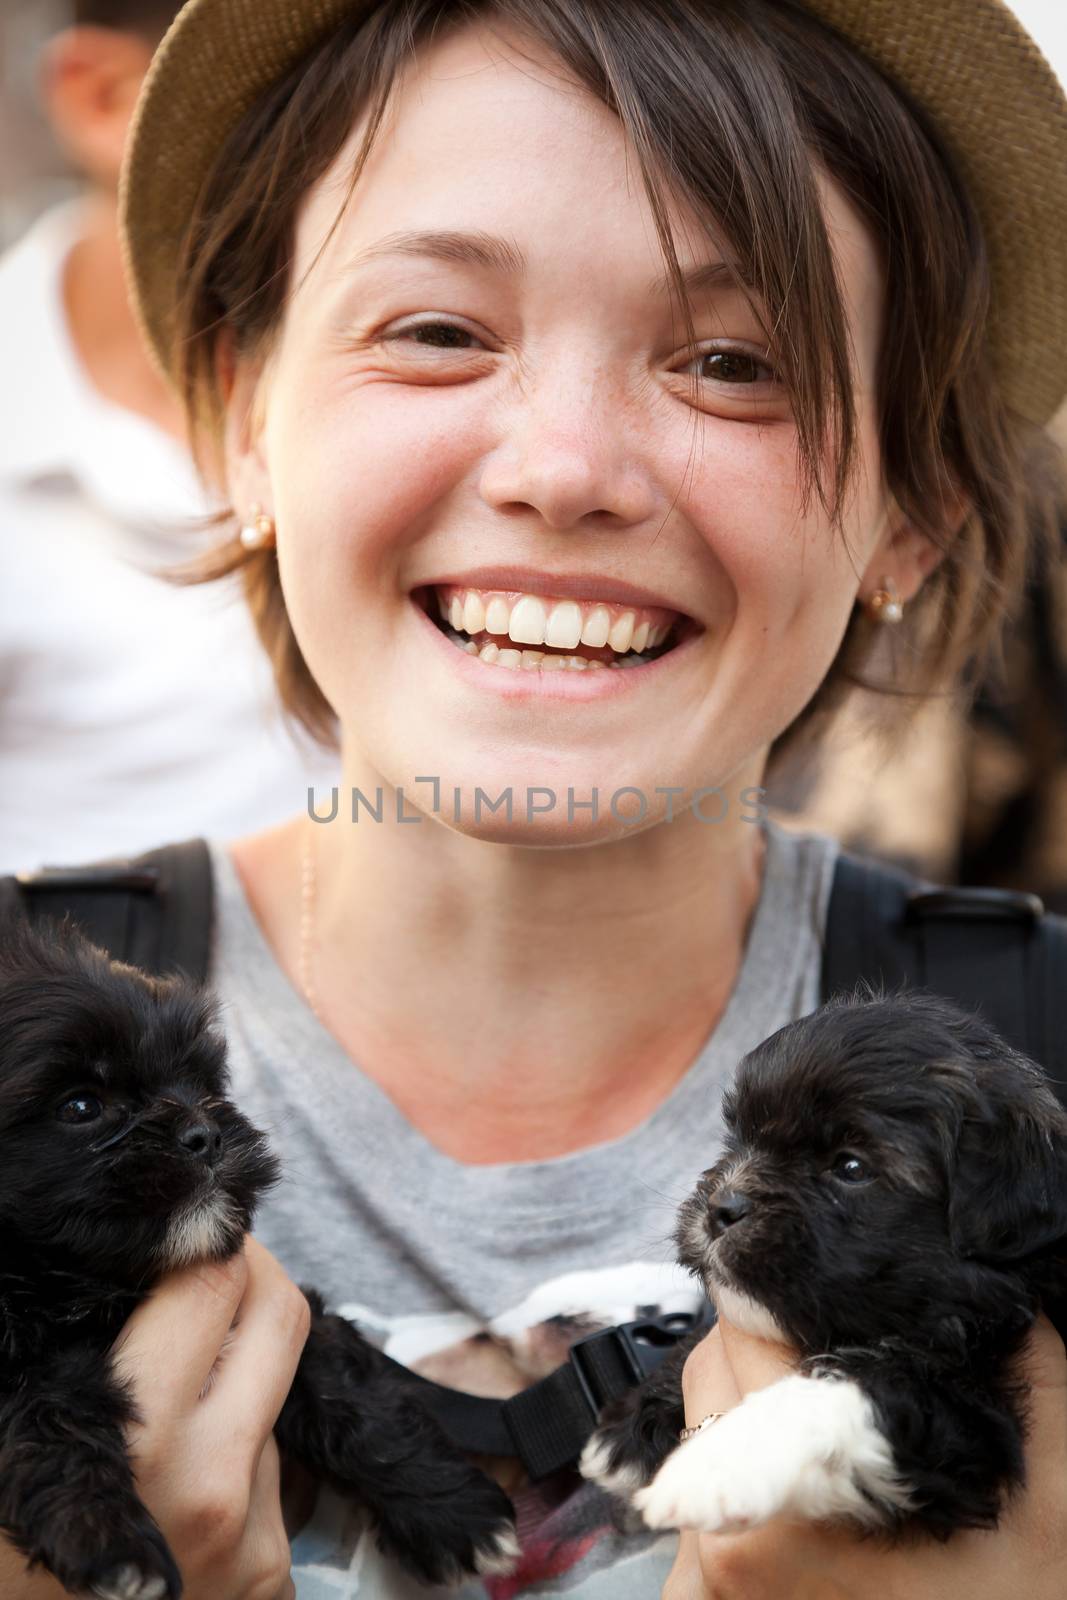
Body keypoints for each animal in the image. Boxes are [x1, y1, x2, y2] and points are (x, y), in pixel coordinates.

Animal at [0, 915, 518, 1600]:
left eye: (201, 1085)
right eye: (81, 1106)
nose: (205, 1134)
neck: (90, 1286)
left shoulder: (286, 1310)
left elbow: (346, 1391)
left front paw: (450, 1507)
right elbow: (46, 1421)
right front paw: (108, 1541)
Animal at [579, 985, 1067, 1536]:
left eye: (851, 1167)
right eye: (739, 1138)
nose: (722, 1207)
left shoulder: (971, 1410)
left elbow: (865, 1382)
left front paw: (723, 1459)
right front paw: (632, 1424)